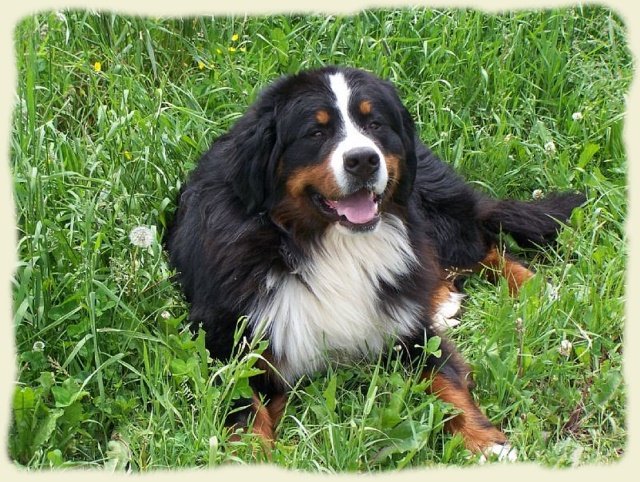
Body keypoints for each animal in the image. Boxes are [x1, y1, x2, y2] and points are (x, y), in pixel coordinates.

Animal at [165, 65, 584, 460]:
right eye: (316, 132)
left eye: (374, 124)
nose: (363, 159)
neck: (322, 245)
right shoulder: (225, 343)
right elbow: (244, 413)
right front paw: (254, 457)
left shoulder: (411, 335)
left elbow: (447, 384)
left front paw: (487, 444)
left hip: (435, 217)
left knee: (482, 247)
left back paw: (534, 289)